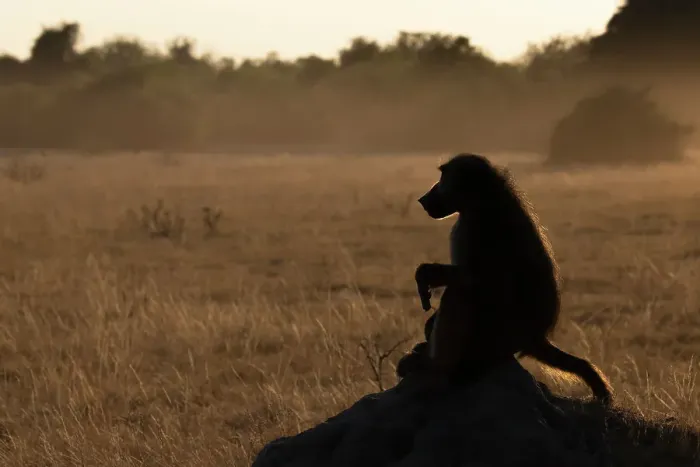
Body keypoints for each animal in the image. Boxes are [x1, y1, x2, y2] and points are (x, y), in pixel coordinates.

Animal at [395, 153, 613, 405]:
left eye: (442, 178)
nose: (423, 198)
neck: (483, 199)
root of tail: (534, 337)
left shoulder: (476, 228)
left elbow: (483, 280)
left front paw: (424, 275)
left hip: (495, 335)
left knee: (461, 293)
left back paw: (434, 366)